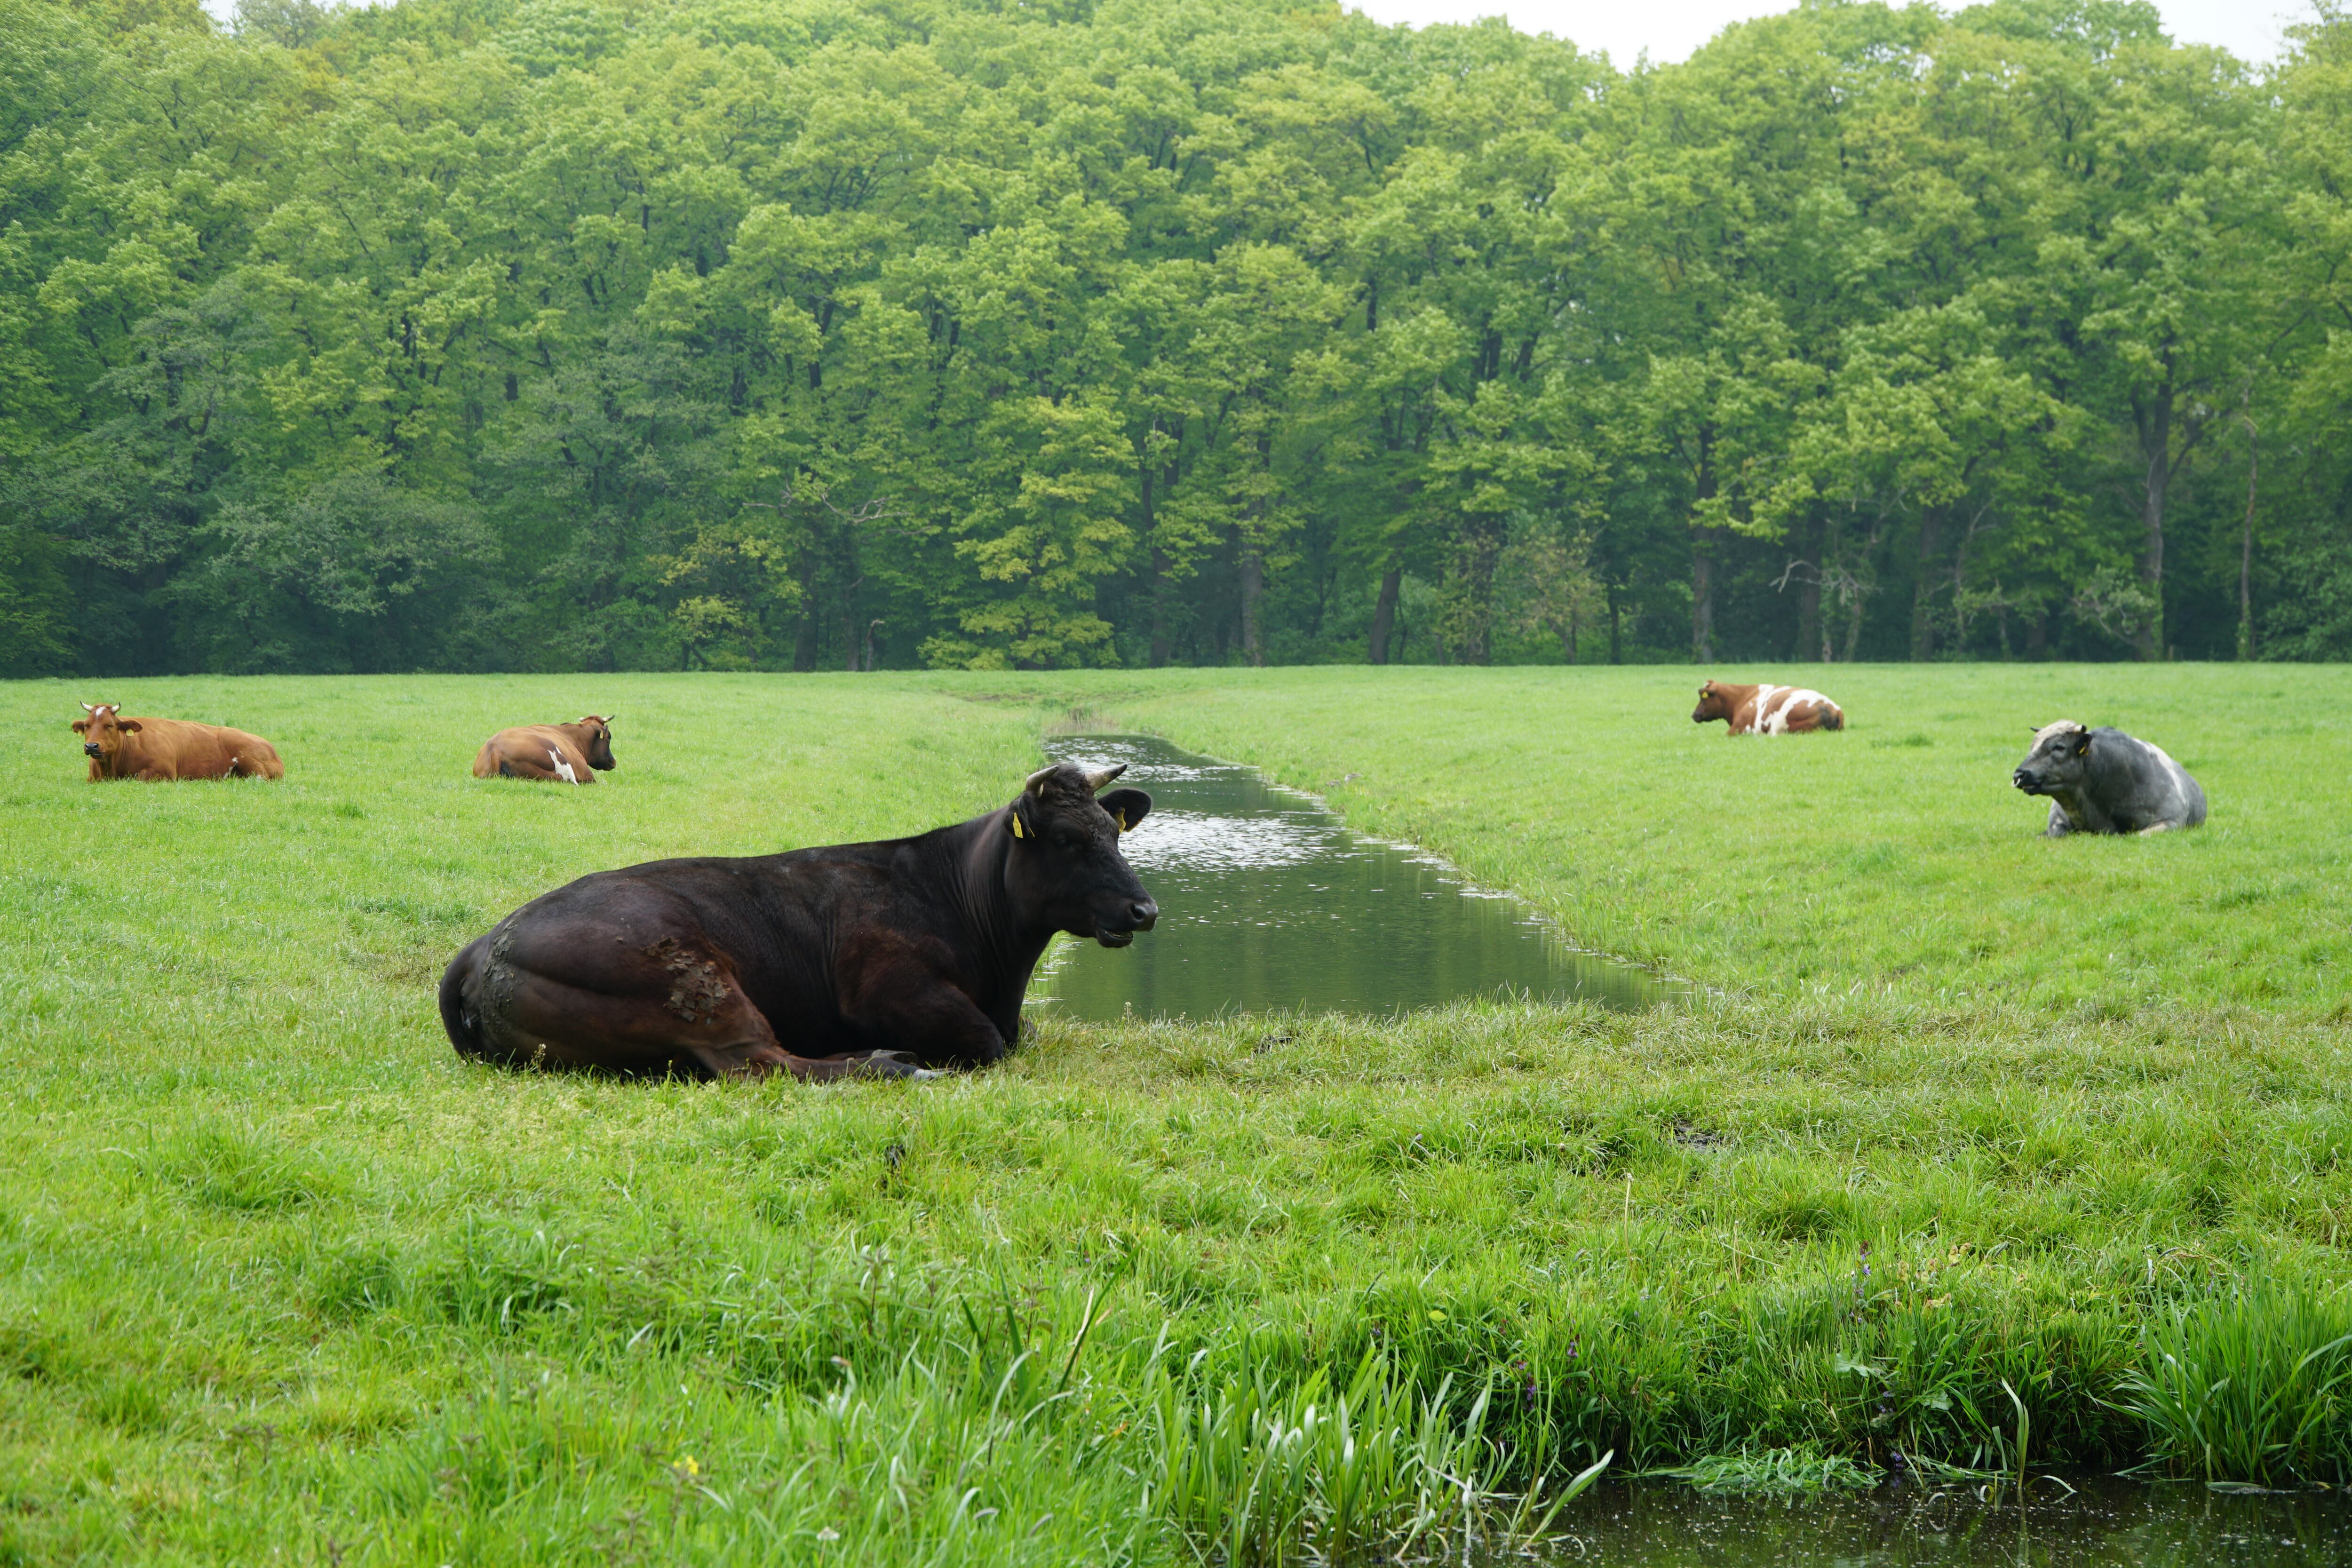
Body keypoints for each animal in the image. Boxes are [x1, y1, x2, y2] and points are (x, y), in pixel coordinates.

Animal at [68, 700, 282, 780]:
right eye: (87, 725)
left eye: (110, 725)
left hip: (252, 762)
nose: (92, 746)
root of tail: (271, 748)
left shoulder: (164, 773)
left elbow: (139, 777)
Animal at [437, 762, 1152, 1081]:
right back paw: (891, 1062)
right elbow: (989, 1041)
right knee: (759, 1062)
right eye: (1065, 839)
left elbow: (1019, 1033)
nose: (1145, 909)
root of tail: (483, 945)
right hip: (700, 986)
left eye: (1113, 832)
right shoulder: (891, 989)